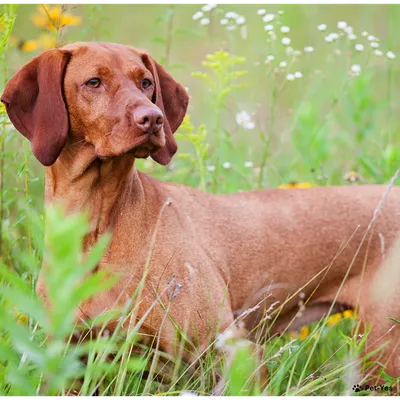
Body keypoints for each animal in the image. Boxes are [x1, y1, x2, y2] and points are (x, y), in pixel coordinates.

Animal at [2, 43, 400, 388]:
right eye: (93, 82)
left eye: (146, 82)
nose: (152, 119)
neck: (95, 224)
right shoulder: (72, 362)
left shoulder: (237, 353)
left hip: (383, 350)